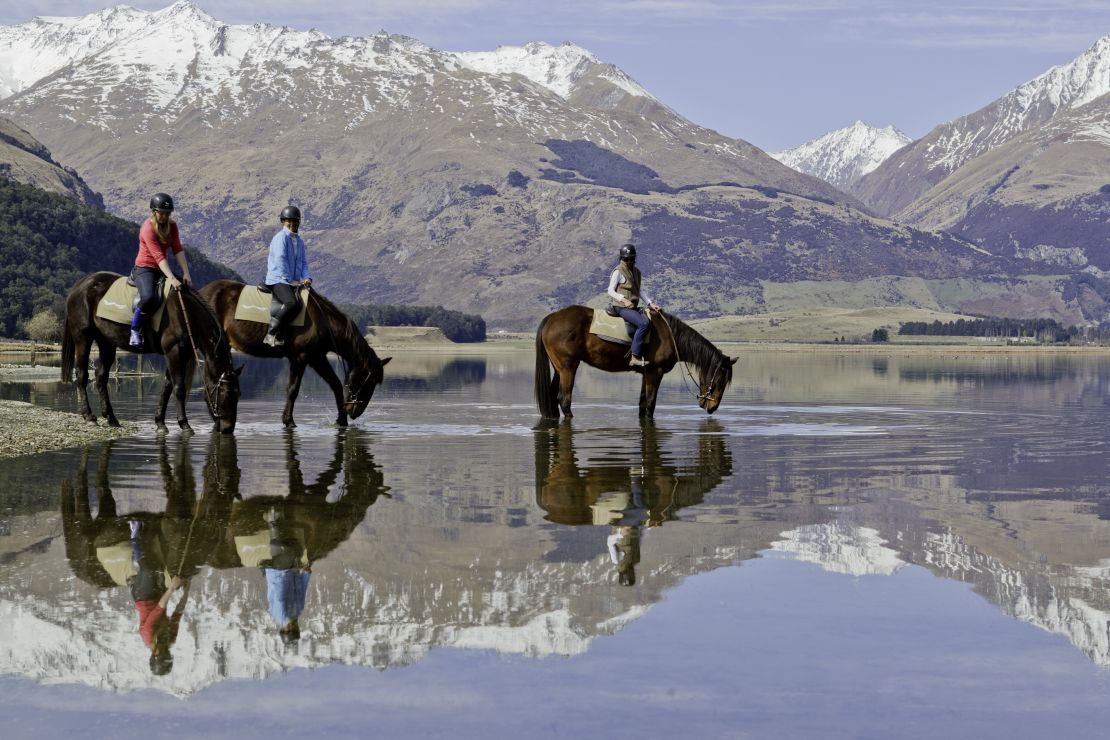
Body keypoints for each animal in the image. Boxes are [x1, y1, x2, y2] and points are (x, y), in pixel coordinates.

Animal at [61, 271, 241, 434]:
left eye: (238, 394)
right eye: (225, 394)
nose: (228, 429)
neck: (185, 313)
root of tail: (80, 285)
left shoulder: (180, 354)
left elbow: (167, 387)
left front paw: (160, 422)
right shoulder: (174, 351)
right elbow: (179, 388)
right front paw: (184, 424)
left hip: (106, 342)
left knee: (100, 377)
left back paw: (111, 418)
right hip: (83, 337)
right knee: (82, 375)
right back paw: (89, 415)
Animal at [199, 279, 390, 428]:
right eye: (370, 381)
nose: (354, 412)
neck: (322, 320)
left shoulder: (317, 357)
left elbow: (335, 384)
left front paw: (341, 420)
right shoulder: (302, 357)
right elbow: (293, 389)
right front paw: (288, 421)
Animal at [532, 306, 732, 419]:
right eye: (720, 381)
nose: (712, 407)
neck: (670, 336)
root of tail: (552, 318)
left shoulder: (646, 373)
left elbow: (642, 404)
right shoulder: (655, 373)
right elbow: (650, 404)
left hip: (559, 368)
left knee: (552, 396)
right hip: (568, 368)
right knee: (564, 400)